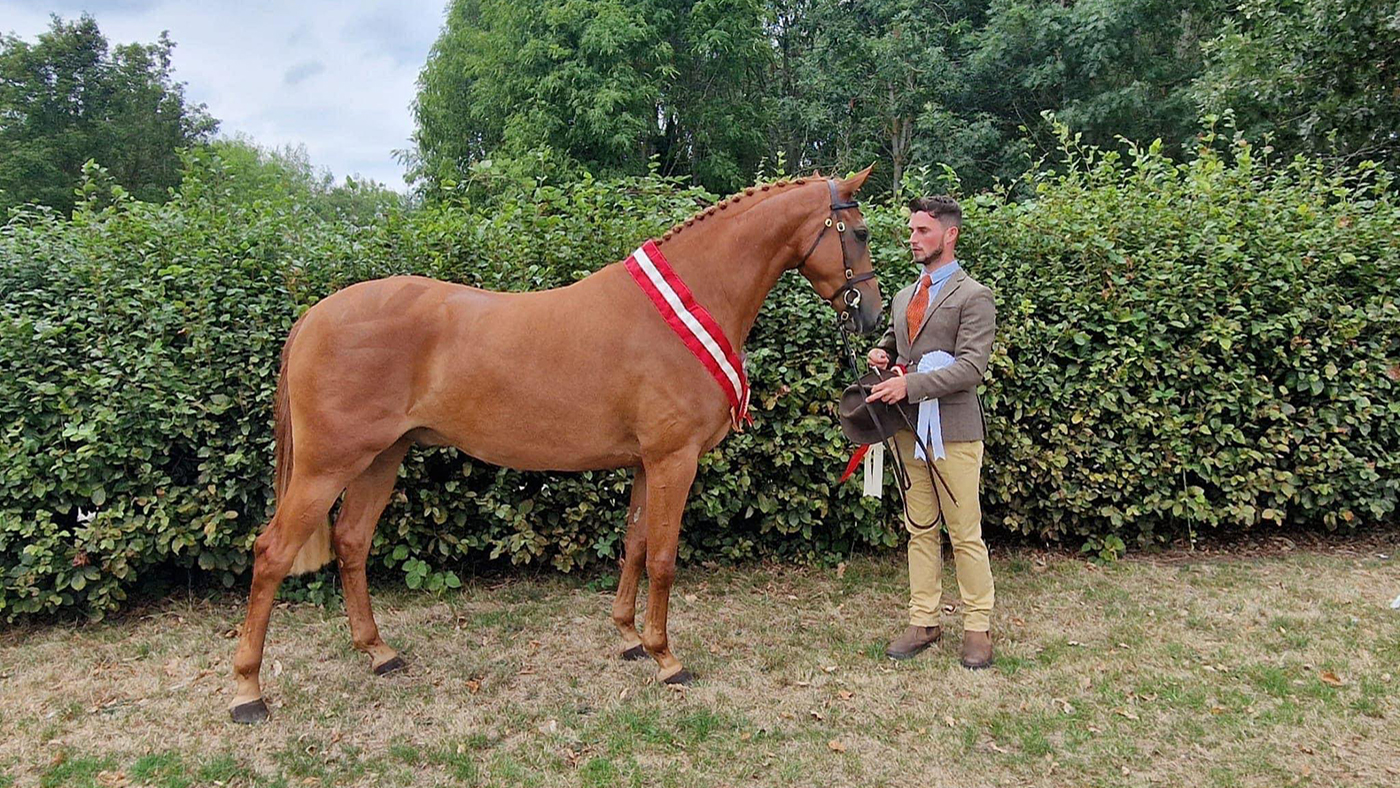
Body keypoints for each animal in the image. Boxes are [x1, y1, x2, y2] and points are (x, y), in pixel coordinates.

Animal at [229, 167, 881, 723]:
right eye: (861, 232)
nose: (874, 318)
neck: (688, 304)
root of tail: (315, 316)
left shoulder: (645, 464)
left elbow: (636, 545)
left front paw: (628, 638)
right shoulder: (674, 461)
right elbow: (665, 560)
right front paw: (666, 658)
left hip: (380, 459)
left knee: (351, 541)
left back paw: (378, 652)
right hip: (326, 467)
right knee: (272, 553)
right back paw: (248, 692)